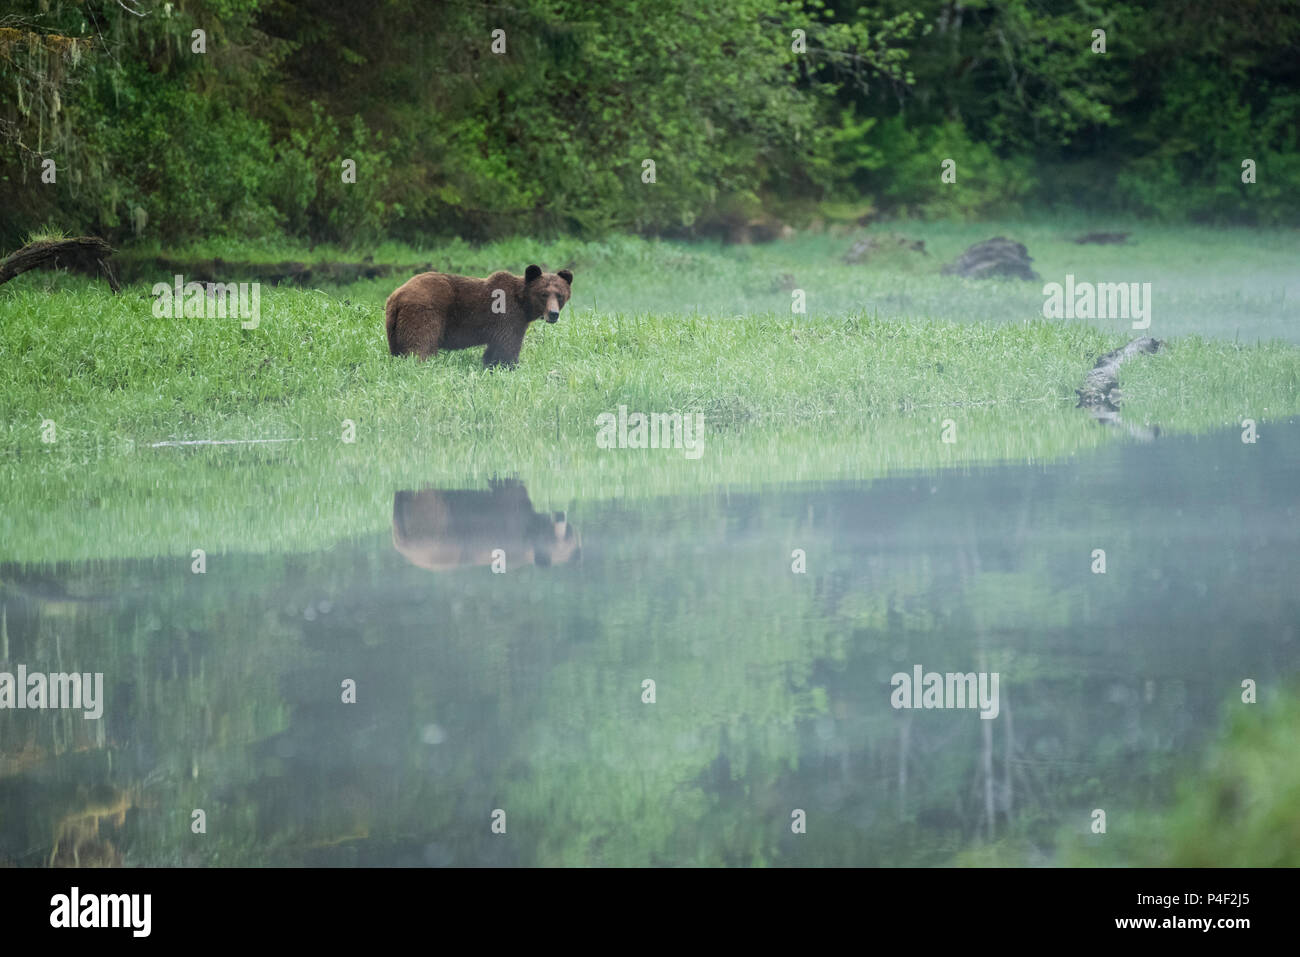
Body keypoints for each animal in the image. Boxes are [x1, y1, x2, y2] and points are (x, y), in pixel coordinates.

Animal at [379, 263, 574, 369]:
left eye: (559, 295)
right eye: (543, 294)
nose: (553, 314)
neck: (523, 305)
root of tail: (396, 296)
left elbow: (493, 352)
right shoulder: (508, 318)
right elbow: (506, 348)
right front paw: (511, 366)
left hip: (394, 327)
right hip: (424, 314)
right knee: (420, 347)